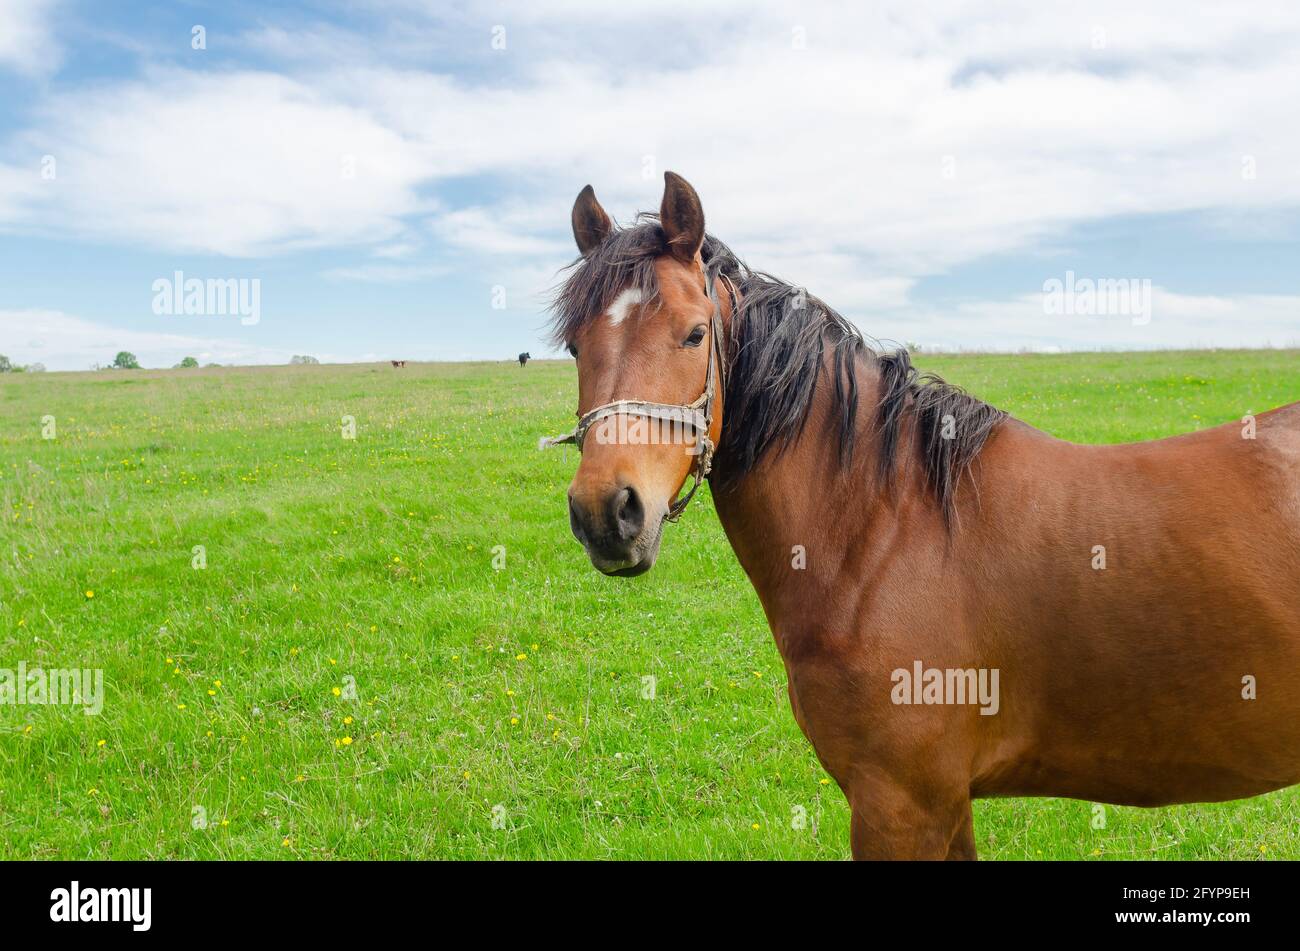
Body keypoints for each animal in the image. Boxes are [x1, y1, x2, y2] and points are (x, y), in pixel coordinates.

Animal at [548, 171, 1300, 862]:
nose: (606, 511)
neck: (883, 535)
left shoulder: (902, 802)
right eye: (575, 347)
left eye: (695, 333)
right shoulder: (945, 803)